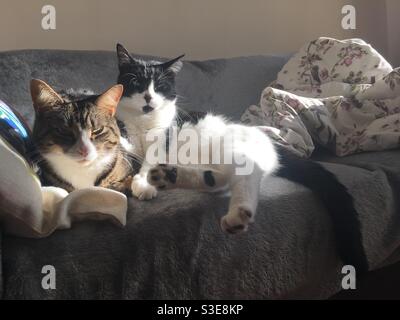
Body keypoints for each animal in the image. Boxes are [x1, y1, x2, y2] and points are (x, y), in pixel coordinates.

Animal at [115, 43, 368, 272]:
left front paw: (143, 183)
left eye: (159, 86)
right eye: (137, 83)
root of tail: (270, 143)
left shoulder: (163, 139)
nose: (148, 98)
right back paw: (171, 176)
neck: (143, 122)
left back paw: (236, 215)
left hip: (232, 150)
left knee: (247, 176)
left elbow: (150, 159)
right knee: (220, 180)